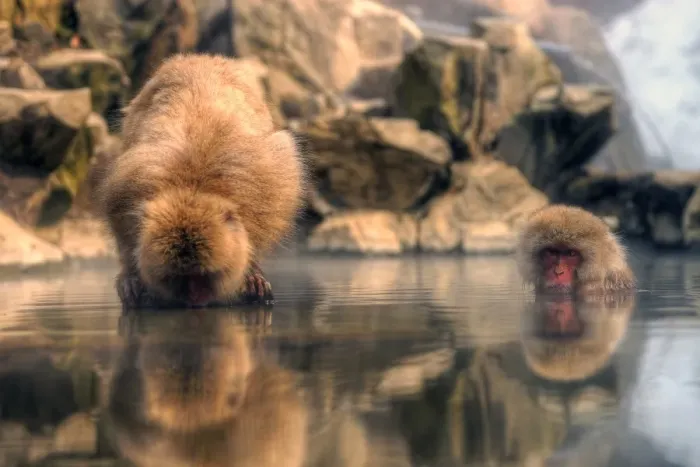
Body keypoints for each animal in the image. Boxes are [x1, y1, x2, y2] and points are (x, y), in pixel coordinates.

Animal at [94, 53, 306, 309]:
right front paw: (132, 278)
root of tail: (201, 57)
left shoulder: (266, 189)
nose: (193, 298)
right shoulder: (125, 191)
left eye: (202, 276)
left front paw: (252, 272)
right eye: (180, 278)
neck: (192, 188)